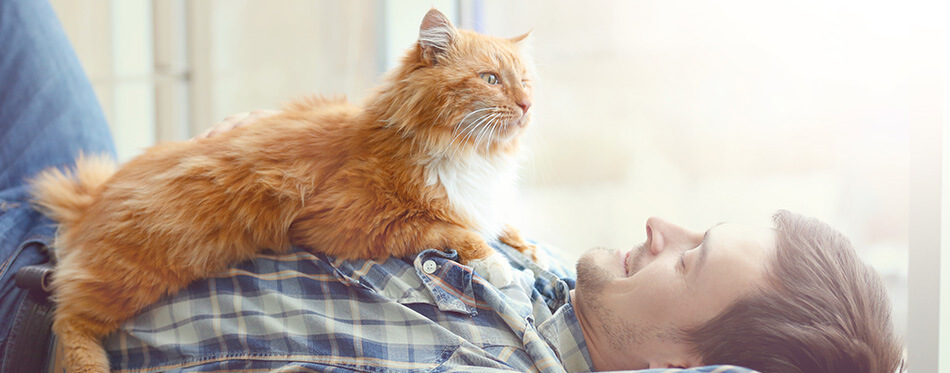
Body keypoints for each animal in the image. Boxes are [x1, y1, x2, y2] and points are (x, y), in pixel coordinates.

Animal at [29, 9, 544, 372]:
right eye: (490, 79)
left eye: (526, 81)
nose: (526, 104)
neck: (468, 153)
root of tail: (91, 198)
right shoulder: (350, 221)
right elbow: (453, 229)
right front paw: (499, 265)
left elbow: (494, 221)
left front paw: (525, 246)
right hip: (137, 271)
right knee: (67, 316)